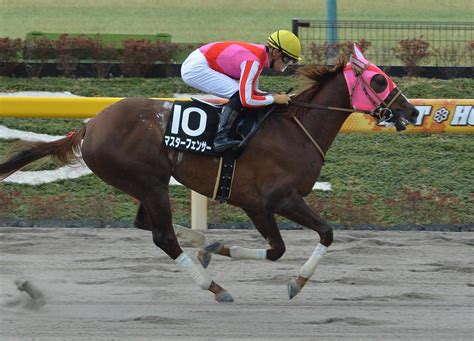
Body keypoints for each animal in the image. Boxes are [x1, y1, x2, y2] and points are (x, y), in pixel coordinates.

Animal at [0, 45, 416, 300]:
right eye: (379, 80)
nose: (412, 112)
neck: (296, 130)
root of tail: (89, 125)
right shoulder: (274, 200)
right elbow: (311, 238)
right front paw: (295, 283)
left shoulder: (257, 204)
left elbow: (278, 248)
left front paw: (217, 246)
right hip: (149, 183)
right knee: (163, 237)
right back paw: (214, 286)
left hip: (145, 183)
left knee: (146, 224)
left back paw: (202, 244)